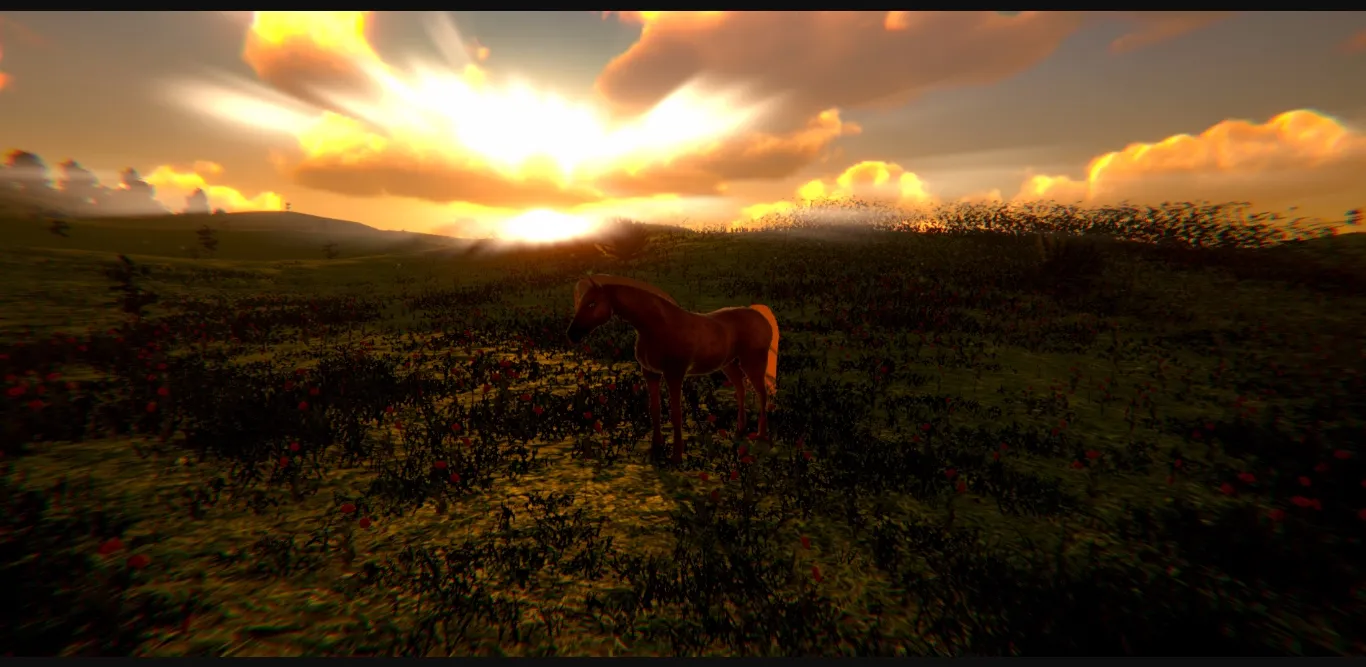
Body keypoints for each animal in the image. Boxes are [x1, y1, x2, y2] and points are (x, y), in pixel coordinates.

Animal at [566, 275, 780, 463]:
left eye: (592, 303)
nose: (572, 334)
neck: (658, 326)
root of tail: (758, 315)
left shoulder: (674, 375)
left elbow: (676, 413)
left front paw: (677, 457)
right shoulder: (651, 374)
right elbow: (655, 410)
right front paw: (656, 449)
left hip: (752, 363)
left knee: (762, 394)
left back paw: (761, 436)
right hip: (729, 365)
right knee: (740, 389)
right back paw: (739, 431)